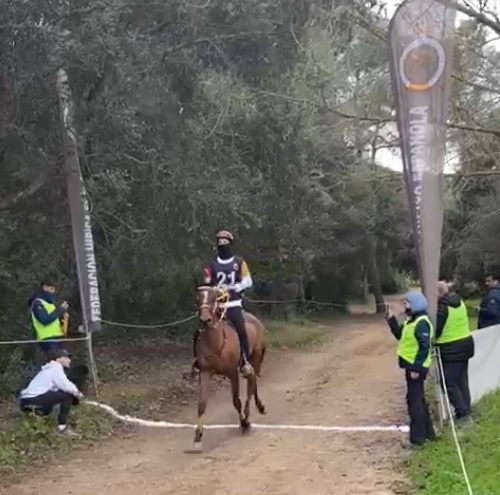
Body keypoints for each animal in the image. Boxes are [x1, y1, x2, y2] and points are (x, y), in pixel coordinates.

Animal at [193, 284, 268, 452]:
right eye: (198, 298)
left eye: (213, 298)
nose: (205, 319)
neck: (216, 342)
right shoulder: (205, 372)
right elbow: (202, 404)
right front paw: (197, 438)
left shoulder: (233, 373)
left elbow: (236, 401)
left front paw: (244, 424)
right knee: (252, 382)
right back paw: (258, 407)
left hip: (255, 357)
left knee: (251, 385)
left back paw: (250, 414)